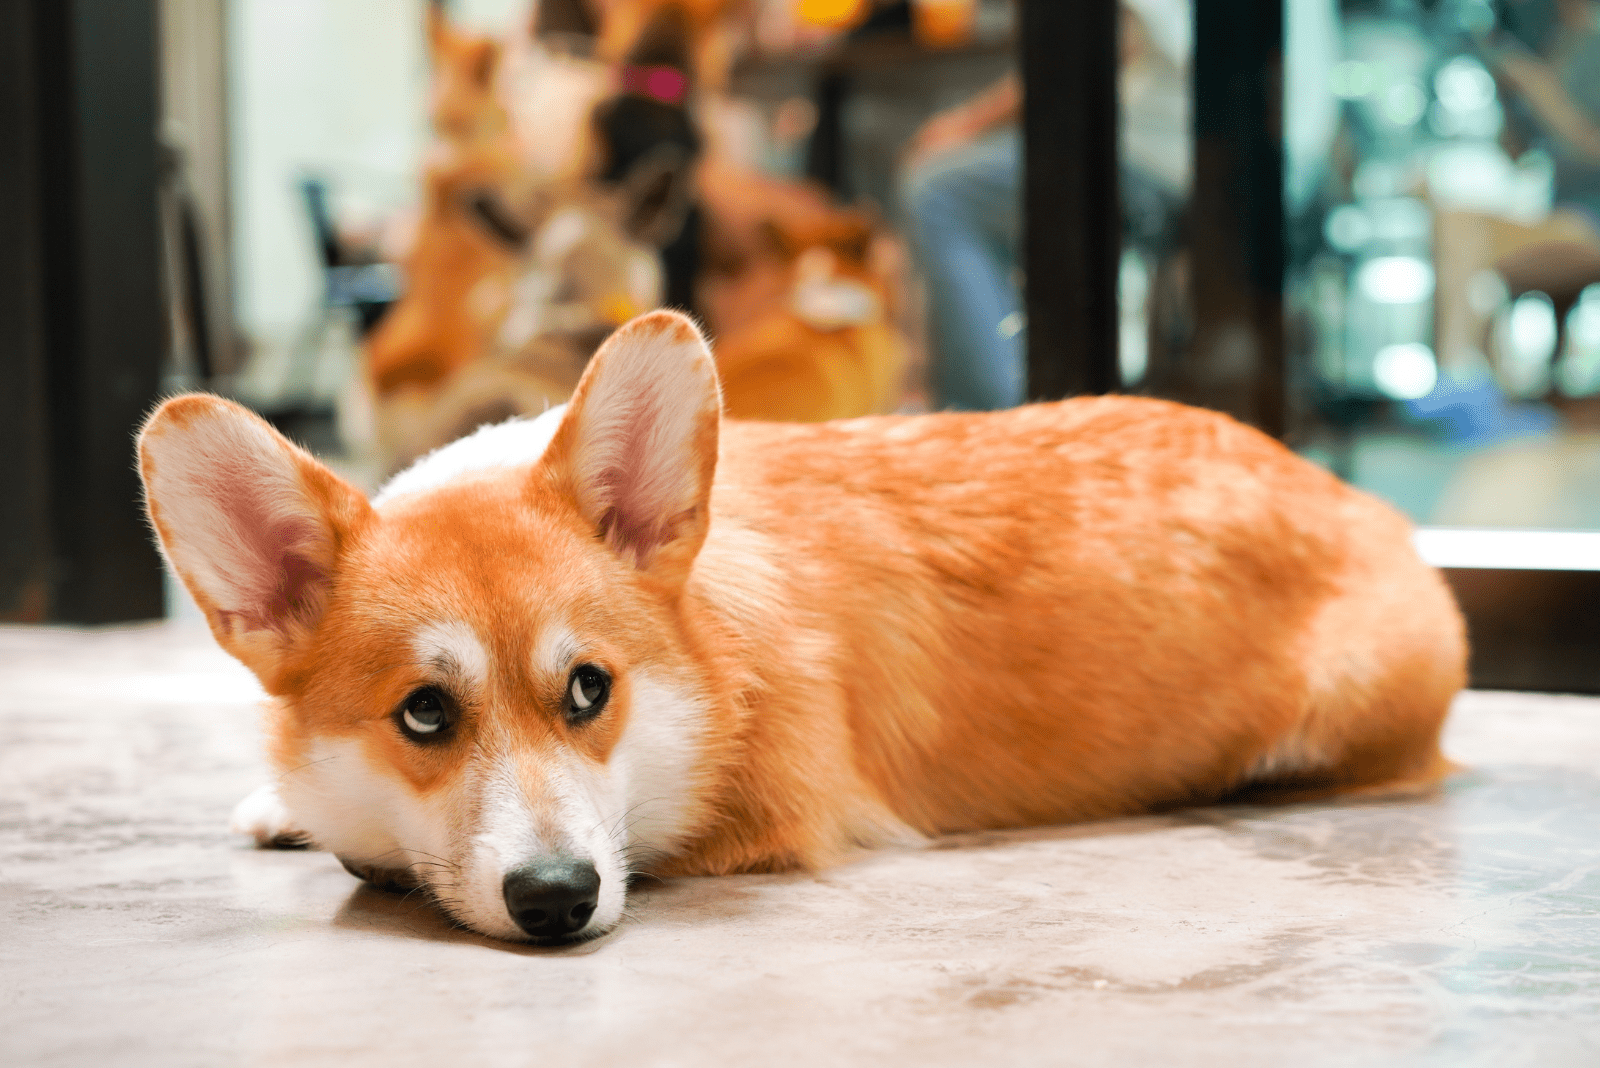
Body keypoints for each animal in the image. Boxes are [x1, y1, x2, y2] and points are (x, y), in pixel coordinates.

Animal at [137, 306, 1465, 940]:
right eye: (423, 713)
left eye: (589, 689)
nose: (558, 901)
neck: (706, 669)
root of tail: (1368, 507)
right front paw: (286, 808)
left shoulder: (772, 821)